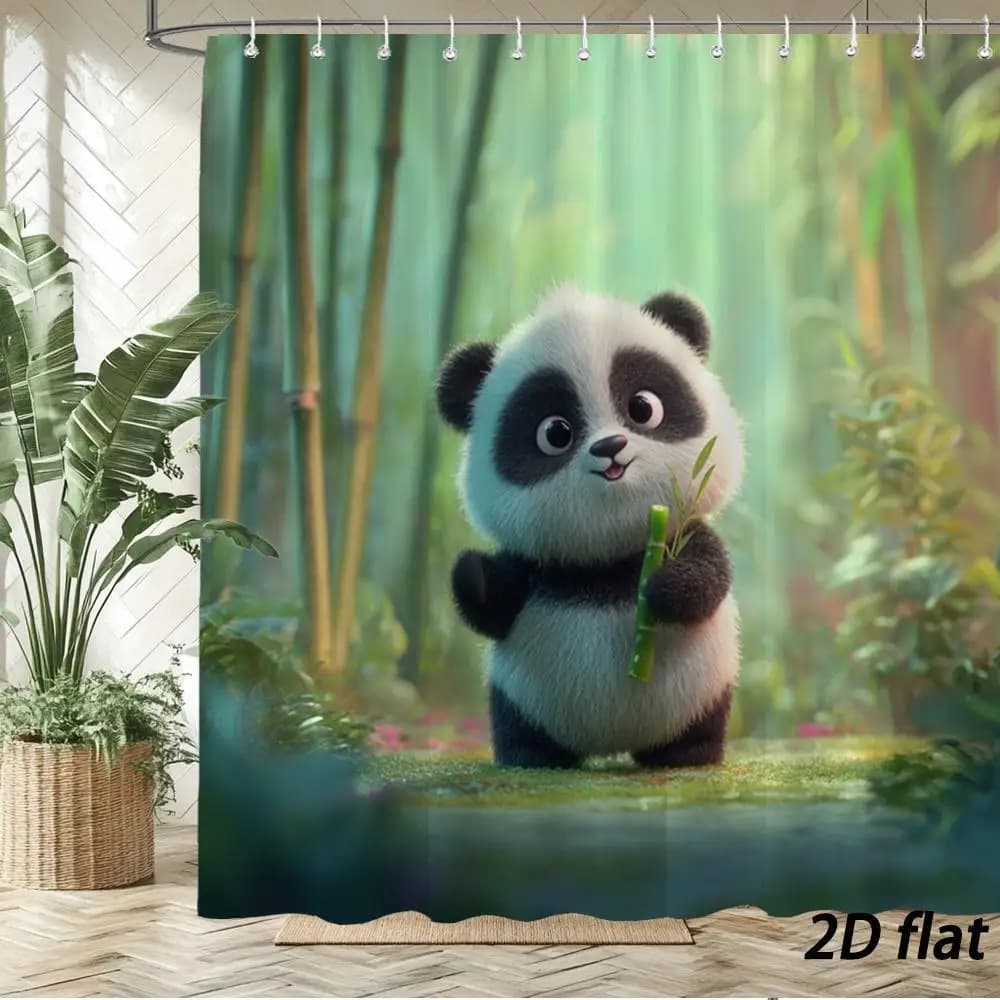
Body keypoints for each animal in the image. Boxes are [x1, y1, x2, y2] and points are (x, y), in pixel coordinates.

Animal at [435, 286, 745, 769]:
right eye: (555, 432)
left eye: (642, 408)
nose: (610, 447)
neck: (607, 558)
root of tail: (610, 744)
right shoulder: (536, 563)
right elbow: (494, 604)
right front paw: (473, 573)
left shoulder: (685, 534)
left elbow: (709, 574)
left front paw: (664, 587)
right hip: (522, 702)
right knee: (518, 725)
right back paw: (531, 757)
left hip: (703, 690)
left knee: (697, 723)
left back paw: (686, 755)